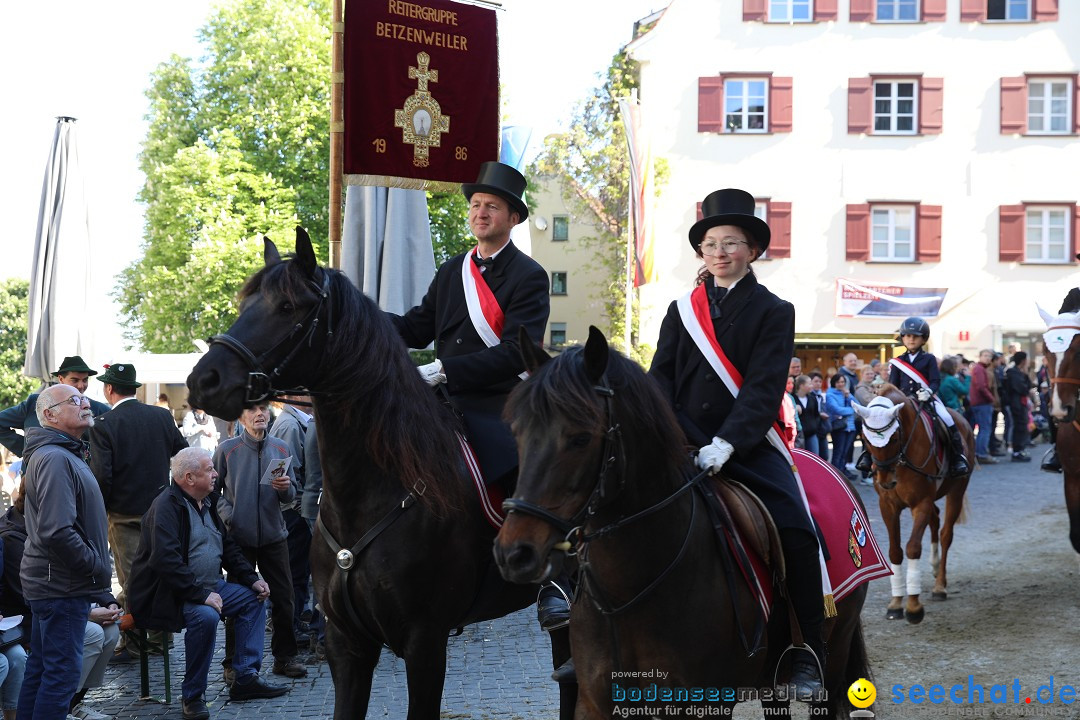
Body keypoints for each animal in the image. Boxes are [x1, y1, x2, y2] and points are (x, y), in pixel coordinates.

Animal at [187, 232, 574, 720]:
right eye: (246, 303)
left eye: (288, 306)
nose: (204, 380)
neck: (373, 490)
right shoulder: (346, 642)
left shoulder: (425, 642)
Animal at [490, 328, 868, 720]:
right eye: (516, 431)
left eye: (580, 437)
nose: (514, 553)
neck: (627, 593)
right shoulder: (594, 701)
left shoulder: (703, 704)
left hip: (835, 651)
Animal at [855, 382, 976, 626]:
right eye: (865, 439)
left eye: (893, 439)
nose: (886, 481)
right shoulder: (888, 506)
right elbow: (894, 552)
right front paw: (895, 603)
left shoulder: (921, 503)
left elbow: (912, 547)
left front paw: (913, 607)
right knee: (935, 519)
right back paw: (934, 565)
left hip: (957, 491)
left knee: (945, 533)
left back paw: (940, 586)